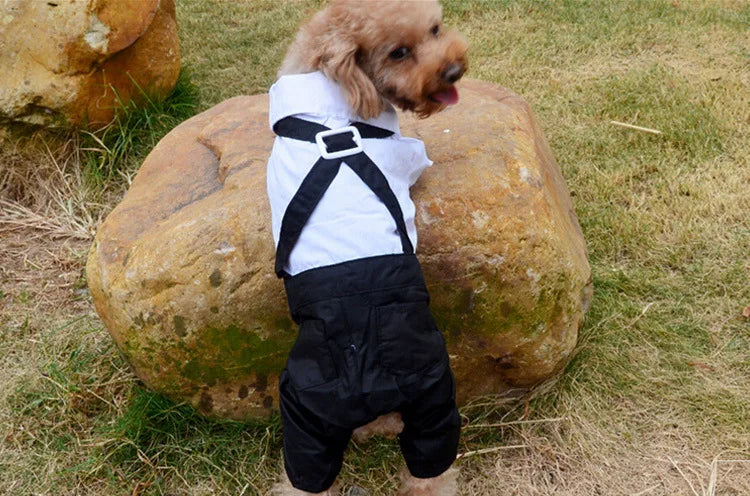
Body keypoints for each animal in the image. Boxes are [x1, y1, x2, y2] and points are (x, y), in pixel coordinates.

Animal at [268, 1, 468, 494]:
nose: (453, 71)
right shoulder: (409, 153)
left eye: (436, 29)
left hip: (308, 423)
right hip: (433, 394)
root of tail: (363, 369)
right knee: (432, 473)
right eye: (398, 53)